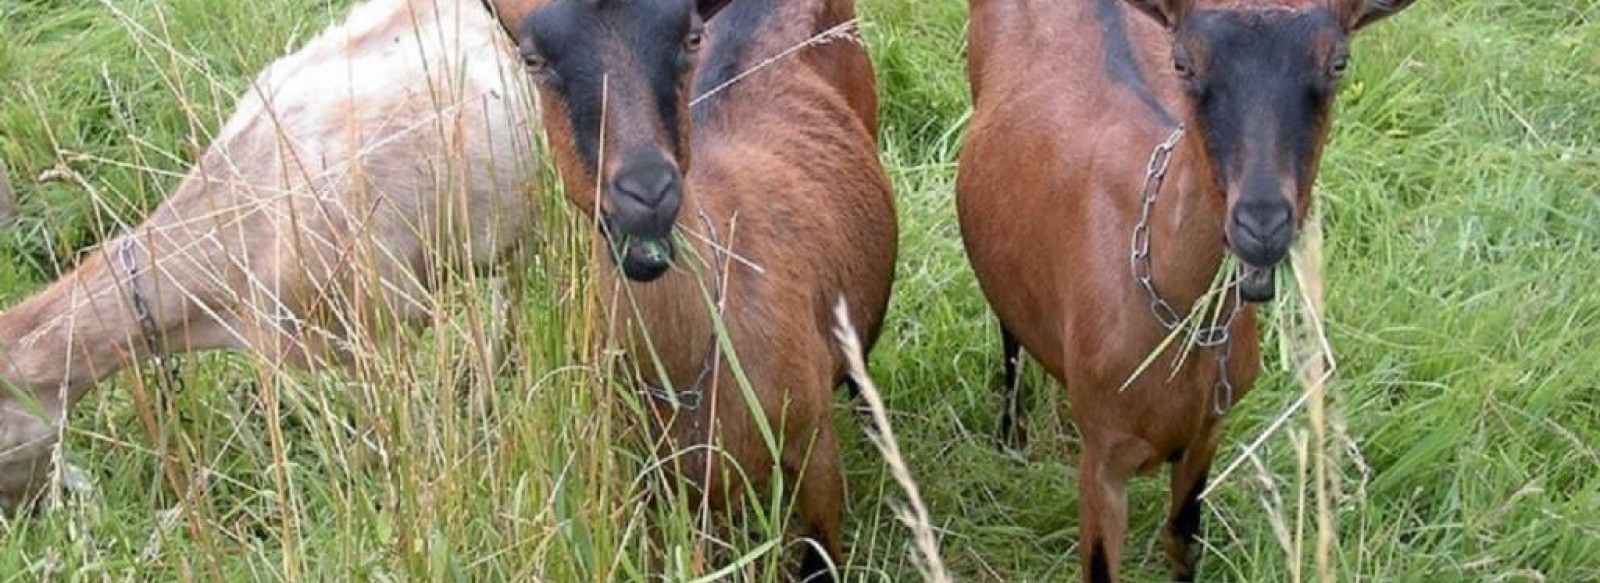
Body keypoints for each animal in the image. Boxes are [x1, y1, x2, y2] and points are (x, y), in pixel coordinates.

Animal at [515, 0, 902, 579]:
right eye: (533, 58)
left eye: (691, 38)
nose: (647, 193)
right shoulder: (654, 492)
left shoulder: (812, 449)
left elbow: (819, 557)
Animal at [953, 0, 1420, 579]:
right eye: (1183, 63)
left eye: (1338, 63)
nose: (1261, 224)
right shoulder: (1103, 455)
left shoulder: (1208, 431)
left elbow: (1182, 540)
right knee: (1009, 328)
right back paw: (1010, 435)